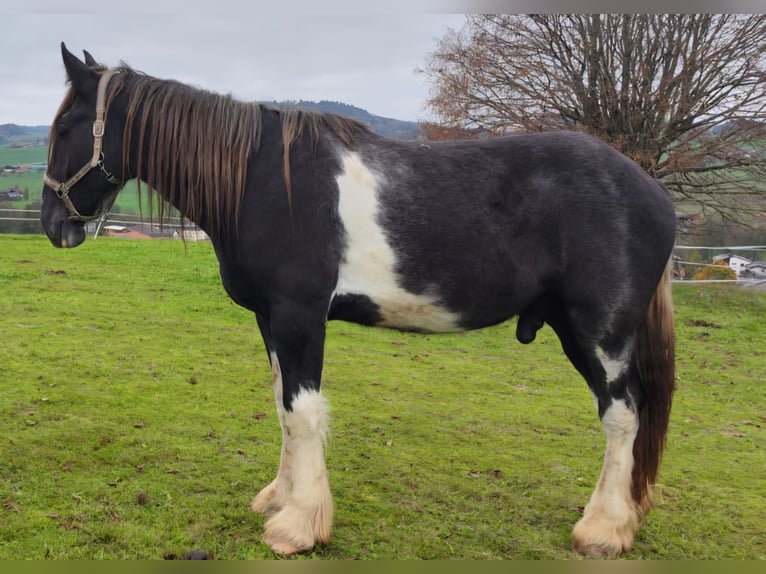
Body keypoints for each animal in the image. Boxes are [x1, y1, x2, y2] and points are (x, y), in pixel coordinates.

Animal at [42, 44, 680, 560]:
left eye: (66, 127)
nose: (53, 225)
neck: (262, 180)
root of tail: (651, 190)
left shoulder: (299, 315)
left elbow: (303, 411)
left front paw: (299, 527)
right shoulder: (270, 320)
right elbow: (282, 406)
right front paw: (279, 499)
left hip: (597, 332)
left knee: (623, 414)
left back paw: (604, 529)